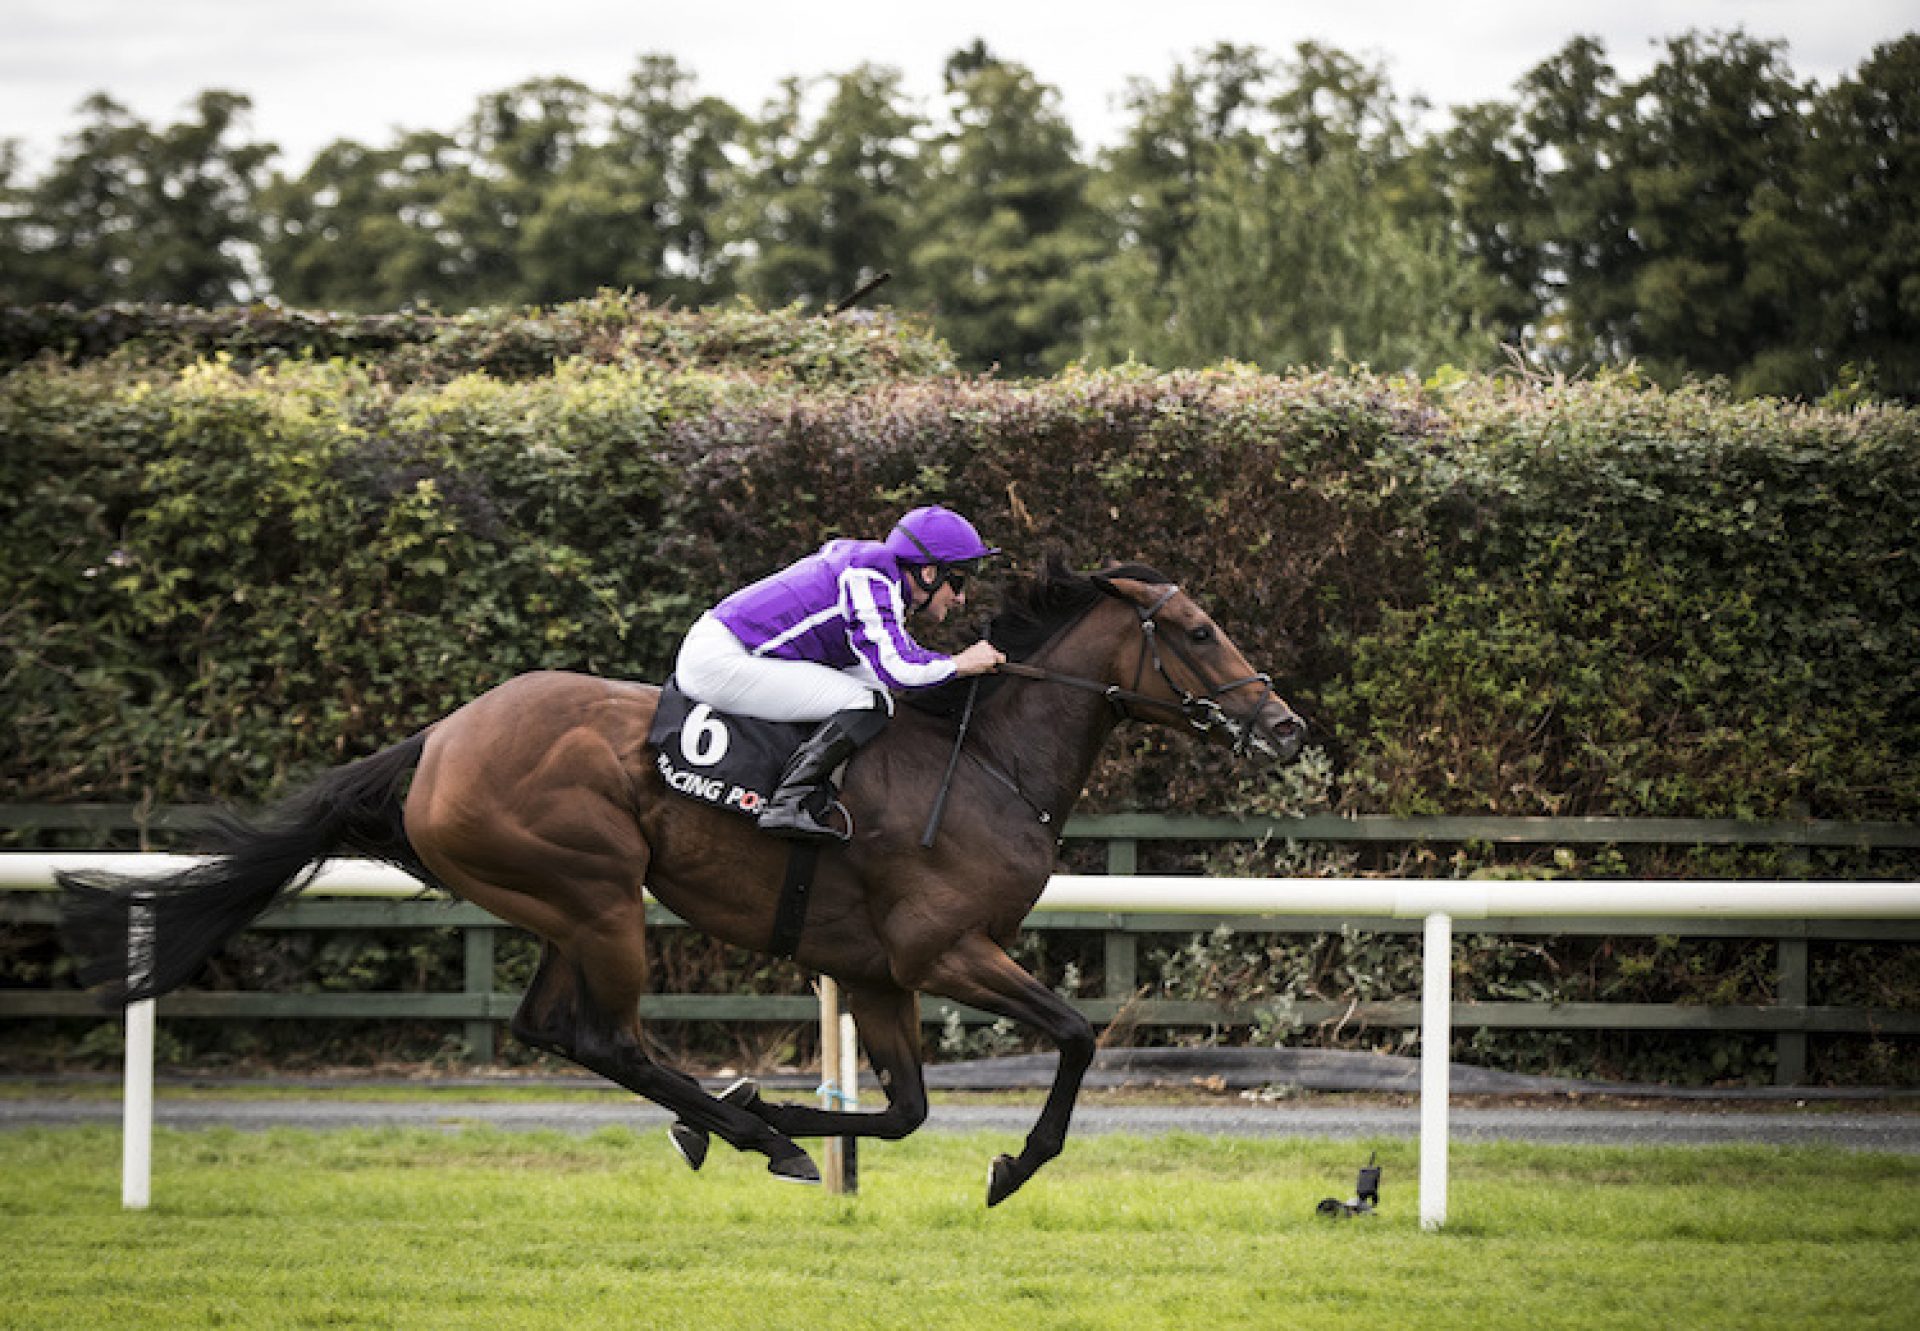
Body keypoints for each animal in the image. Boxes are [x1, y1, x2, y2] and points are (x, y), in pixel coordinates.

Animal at [67, 553, 1313, 1206]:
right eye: (1198, 629)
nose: (1287, 725)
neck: (985, 759)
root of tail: (438, 738)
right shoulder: (944, 949)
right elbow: (1075, 1033)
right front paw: (1012, 1162)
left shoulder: (877, 972)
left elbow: (906, 1110)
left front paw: (775, 1102)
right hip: (600, 890)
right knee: (605, 1034)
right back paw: (745, 1129)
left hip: (561, 903)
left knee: (554, 1026)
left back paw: (733, 1121)